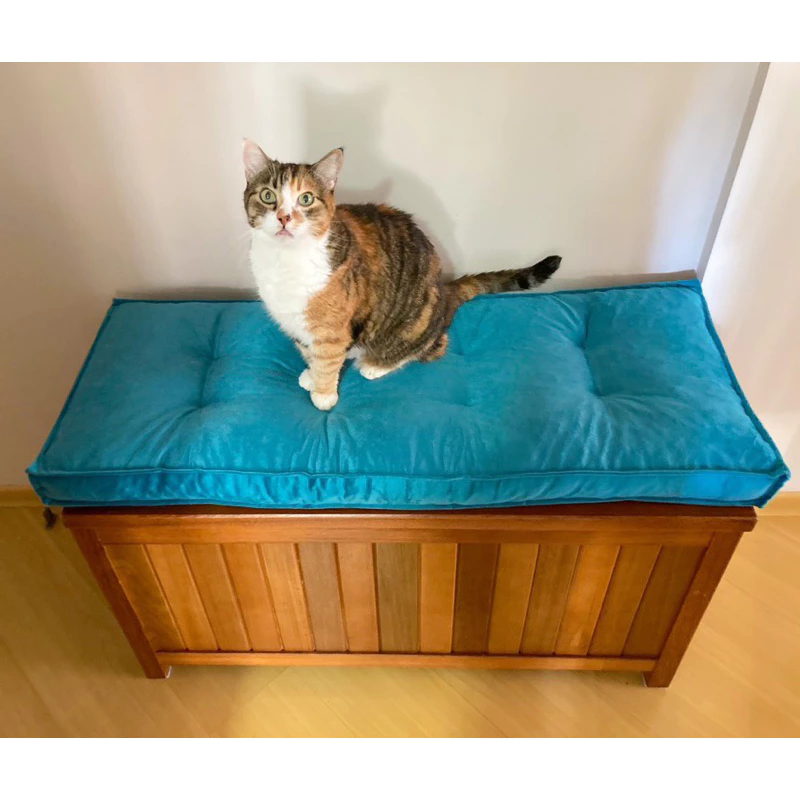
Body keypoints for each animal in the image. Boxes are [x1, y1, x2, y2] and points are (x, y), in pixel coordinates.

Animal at [243, 140, 561, 411]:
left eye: (306, 199)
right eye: (268, 196)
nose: (284, 217)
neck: (284, 260)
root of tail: (443, 290)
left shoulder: (332, 327)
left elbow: (328, 357)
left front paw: (323, 394)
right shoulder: (295, 324)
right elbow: (309, 352)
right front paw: (312, 374)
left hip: (416, 323)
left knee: (431, 348)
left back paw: (374, 365)